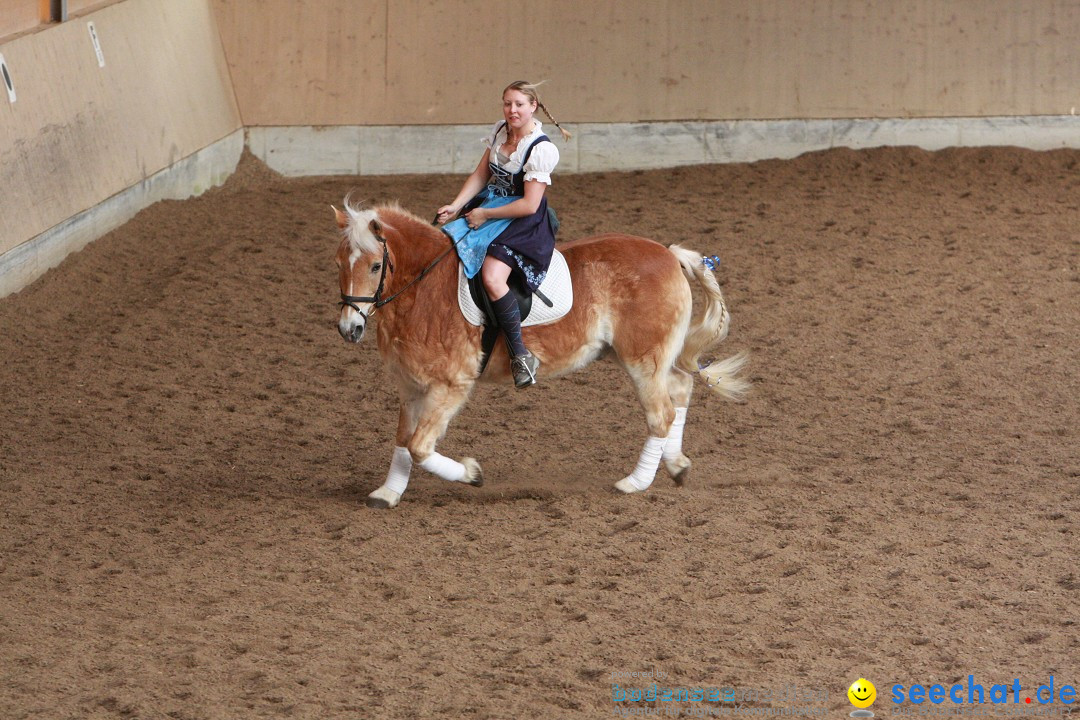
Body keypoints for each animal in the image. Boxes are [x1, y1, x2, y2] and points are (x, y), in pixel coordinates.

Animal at [332, 199, 747, 509]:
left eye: (375, 265)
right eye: (338, 264)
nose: (349, 329)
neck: (424, 289)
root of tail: (669, 254)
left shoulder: (449, 385)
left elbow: (420, 446)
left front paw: (472, 473)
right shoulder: (411, 385)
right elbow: (404, 439)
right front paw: (388, 493)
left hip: (642, 359)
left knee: (661, 413)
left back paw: (634, 483)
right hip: (641, 356)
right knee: (679, 389)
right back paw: (676, 466)